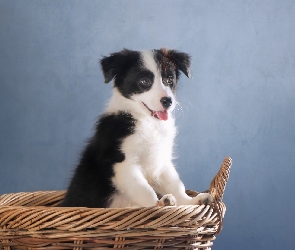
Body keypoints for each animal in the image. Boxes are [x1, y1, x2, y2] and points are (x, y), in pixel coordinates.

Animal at [60, 48, 213, 207]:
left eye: (169, 79)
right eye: (144, 81)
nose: (168, 101)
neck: (147, 121)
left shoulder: (162, 160)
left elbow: (175, 184)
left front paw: (191, 201)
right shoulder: (123, 164)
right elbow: (145, 190)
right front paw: (158, 204)